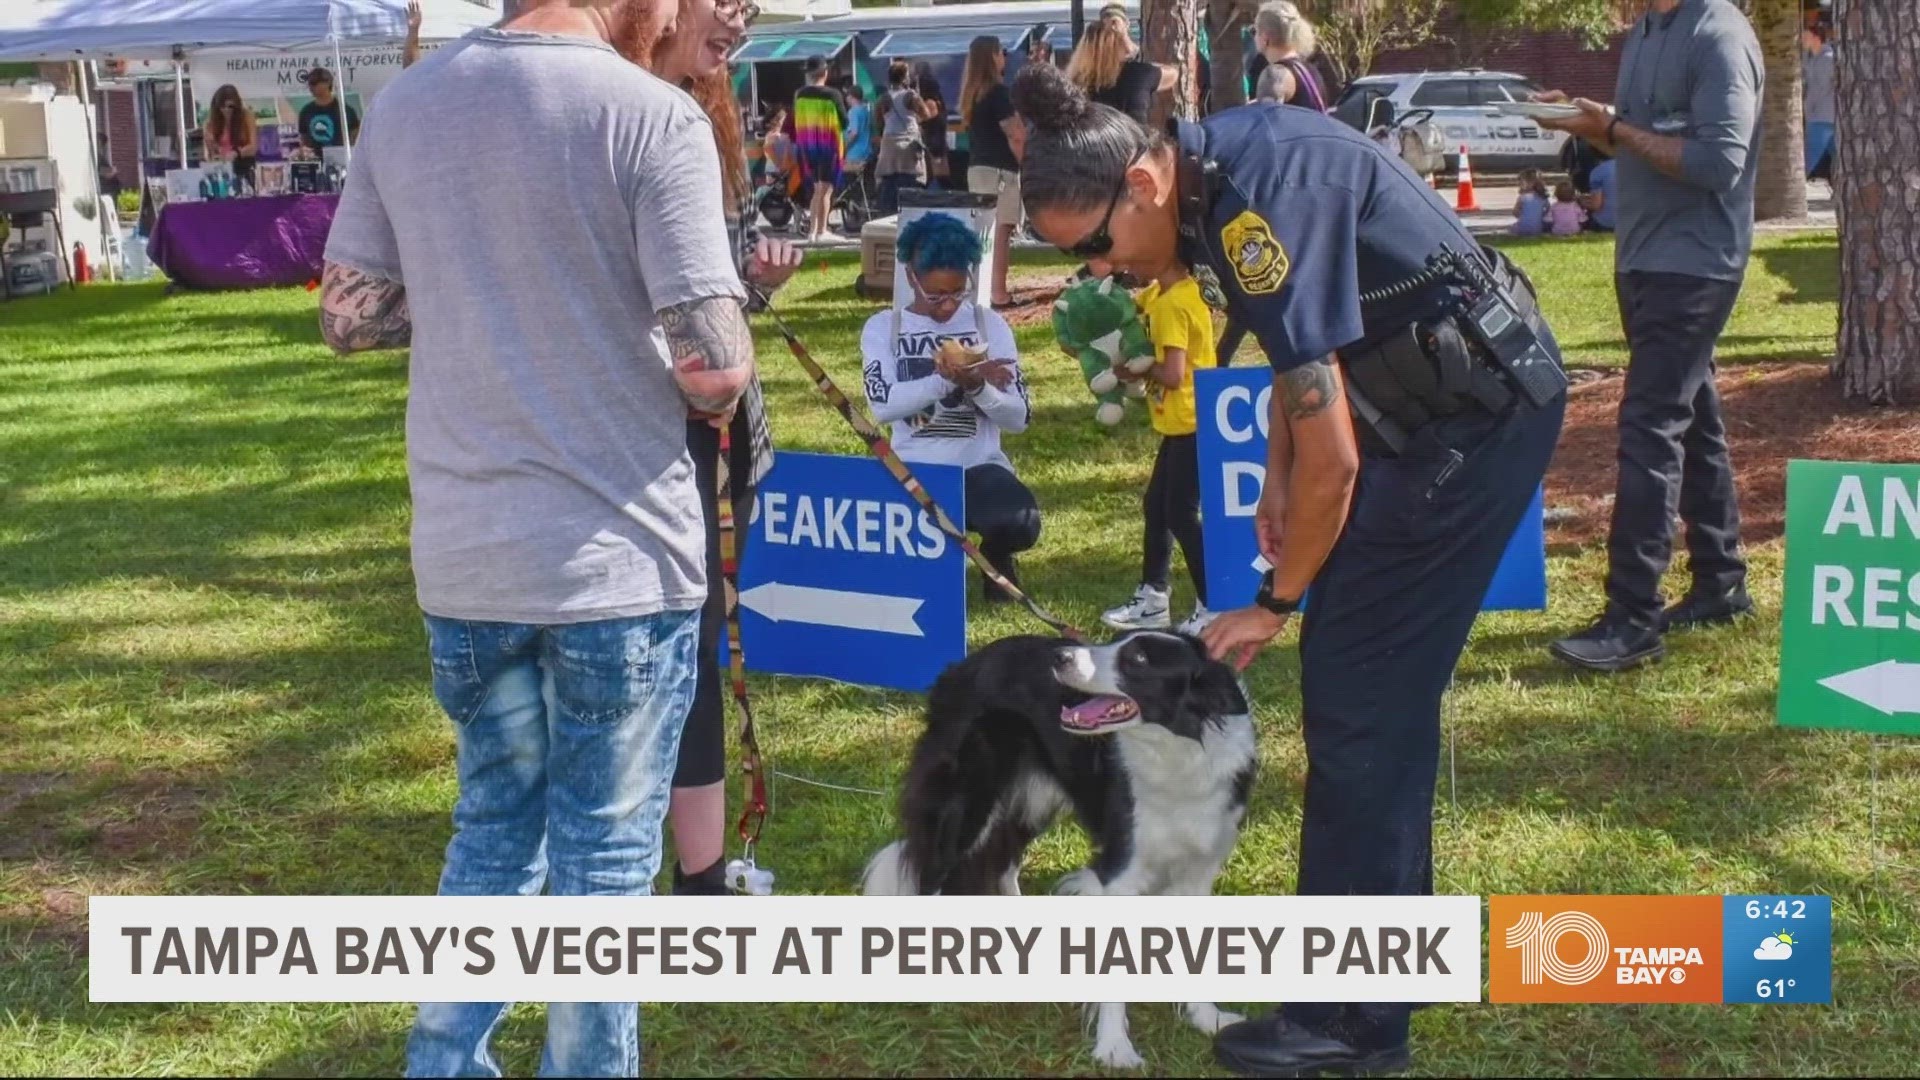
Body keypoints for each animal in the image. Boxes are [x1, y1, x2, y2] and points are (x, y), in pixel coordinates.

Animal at [860, 626, 1251, 1060]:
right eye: (1116, 642)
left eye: (1138, 659)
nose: (1061, 657)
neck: (1178, 751)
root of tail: (962, 665)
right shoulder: (1120, 868)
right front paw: (1114, 1047)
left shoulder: (1201, 868)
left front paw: (1206, 1017)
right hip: (967, 802)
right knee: (933, 873)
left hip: (1033, 800)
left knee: (1003, 862)